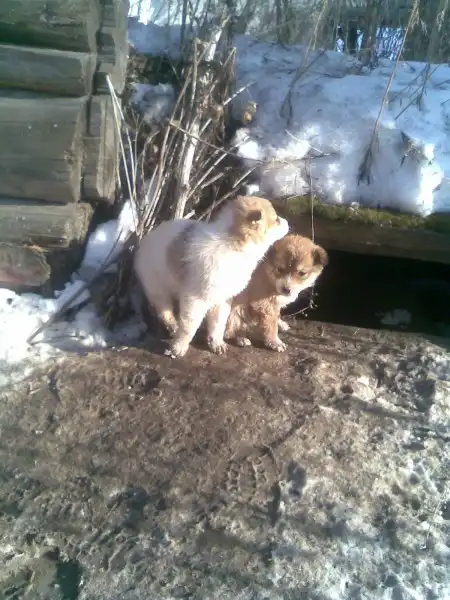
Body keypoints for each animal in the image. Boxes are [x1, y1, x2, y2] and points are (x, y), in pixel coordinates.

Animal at [134, 195, 289, 358]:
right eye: (276, 220)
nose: (288, 222)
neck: (231, 245)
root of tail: (147, 238)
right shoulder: (195, 300)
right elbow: (189, 326)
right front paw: (178, 348)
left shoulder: (222, 299)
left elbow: (218, 323)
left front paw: (216, 344)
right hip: (158, 289)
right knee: (165, 312)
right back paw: (174, 328)